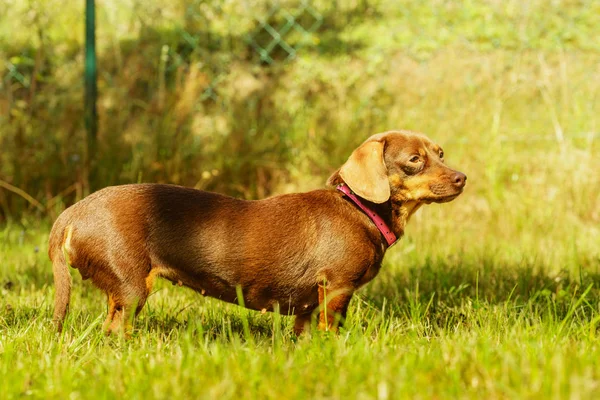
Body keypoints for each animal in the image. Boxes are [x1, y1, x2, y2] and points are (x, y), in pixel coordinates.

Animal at [49, 130, 466, 334]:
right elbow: (332, 330)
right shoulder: (336, 289)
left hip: (123, 291)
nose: (462, 178)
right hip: (132, 286)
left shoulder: (308, 306)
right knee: (115, 331)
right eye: (414, 160)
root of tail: (72, 213)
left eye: (441, 153)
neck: (360, 209)